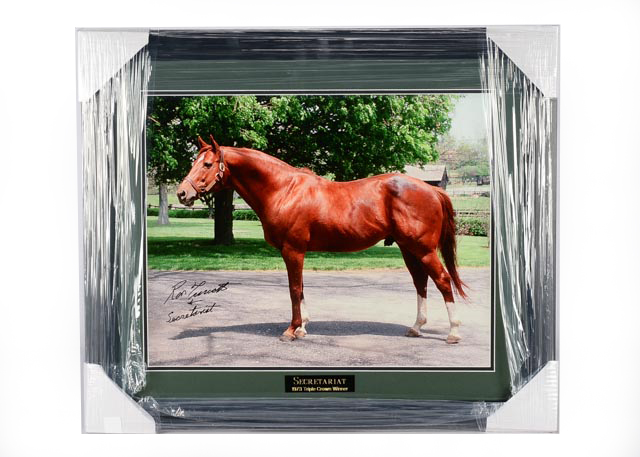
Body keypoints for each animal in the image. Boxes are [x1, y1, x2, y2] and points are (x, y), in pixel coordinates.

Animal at [177, 135, 466, 343]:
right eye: (193, 162)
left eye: (206, 164)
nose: (182, 193)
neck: (284, 190)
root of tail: (432, 189)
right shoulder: (295, 252)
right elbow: (301, 288)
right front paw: (303, 327)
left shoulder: (292, 250)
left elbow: (294, 289)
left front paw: (292, 330)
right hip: (408, 249)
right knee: (421, 282)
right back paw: (416, 327)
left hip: (423, 249)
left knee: (442, 280)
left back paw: (453, 332)